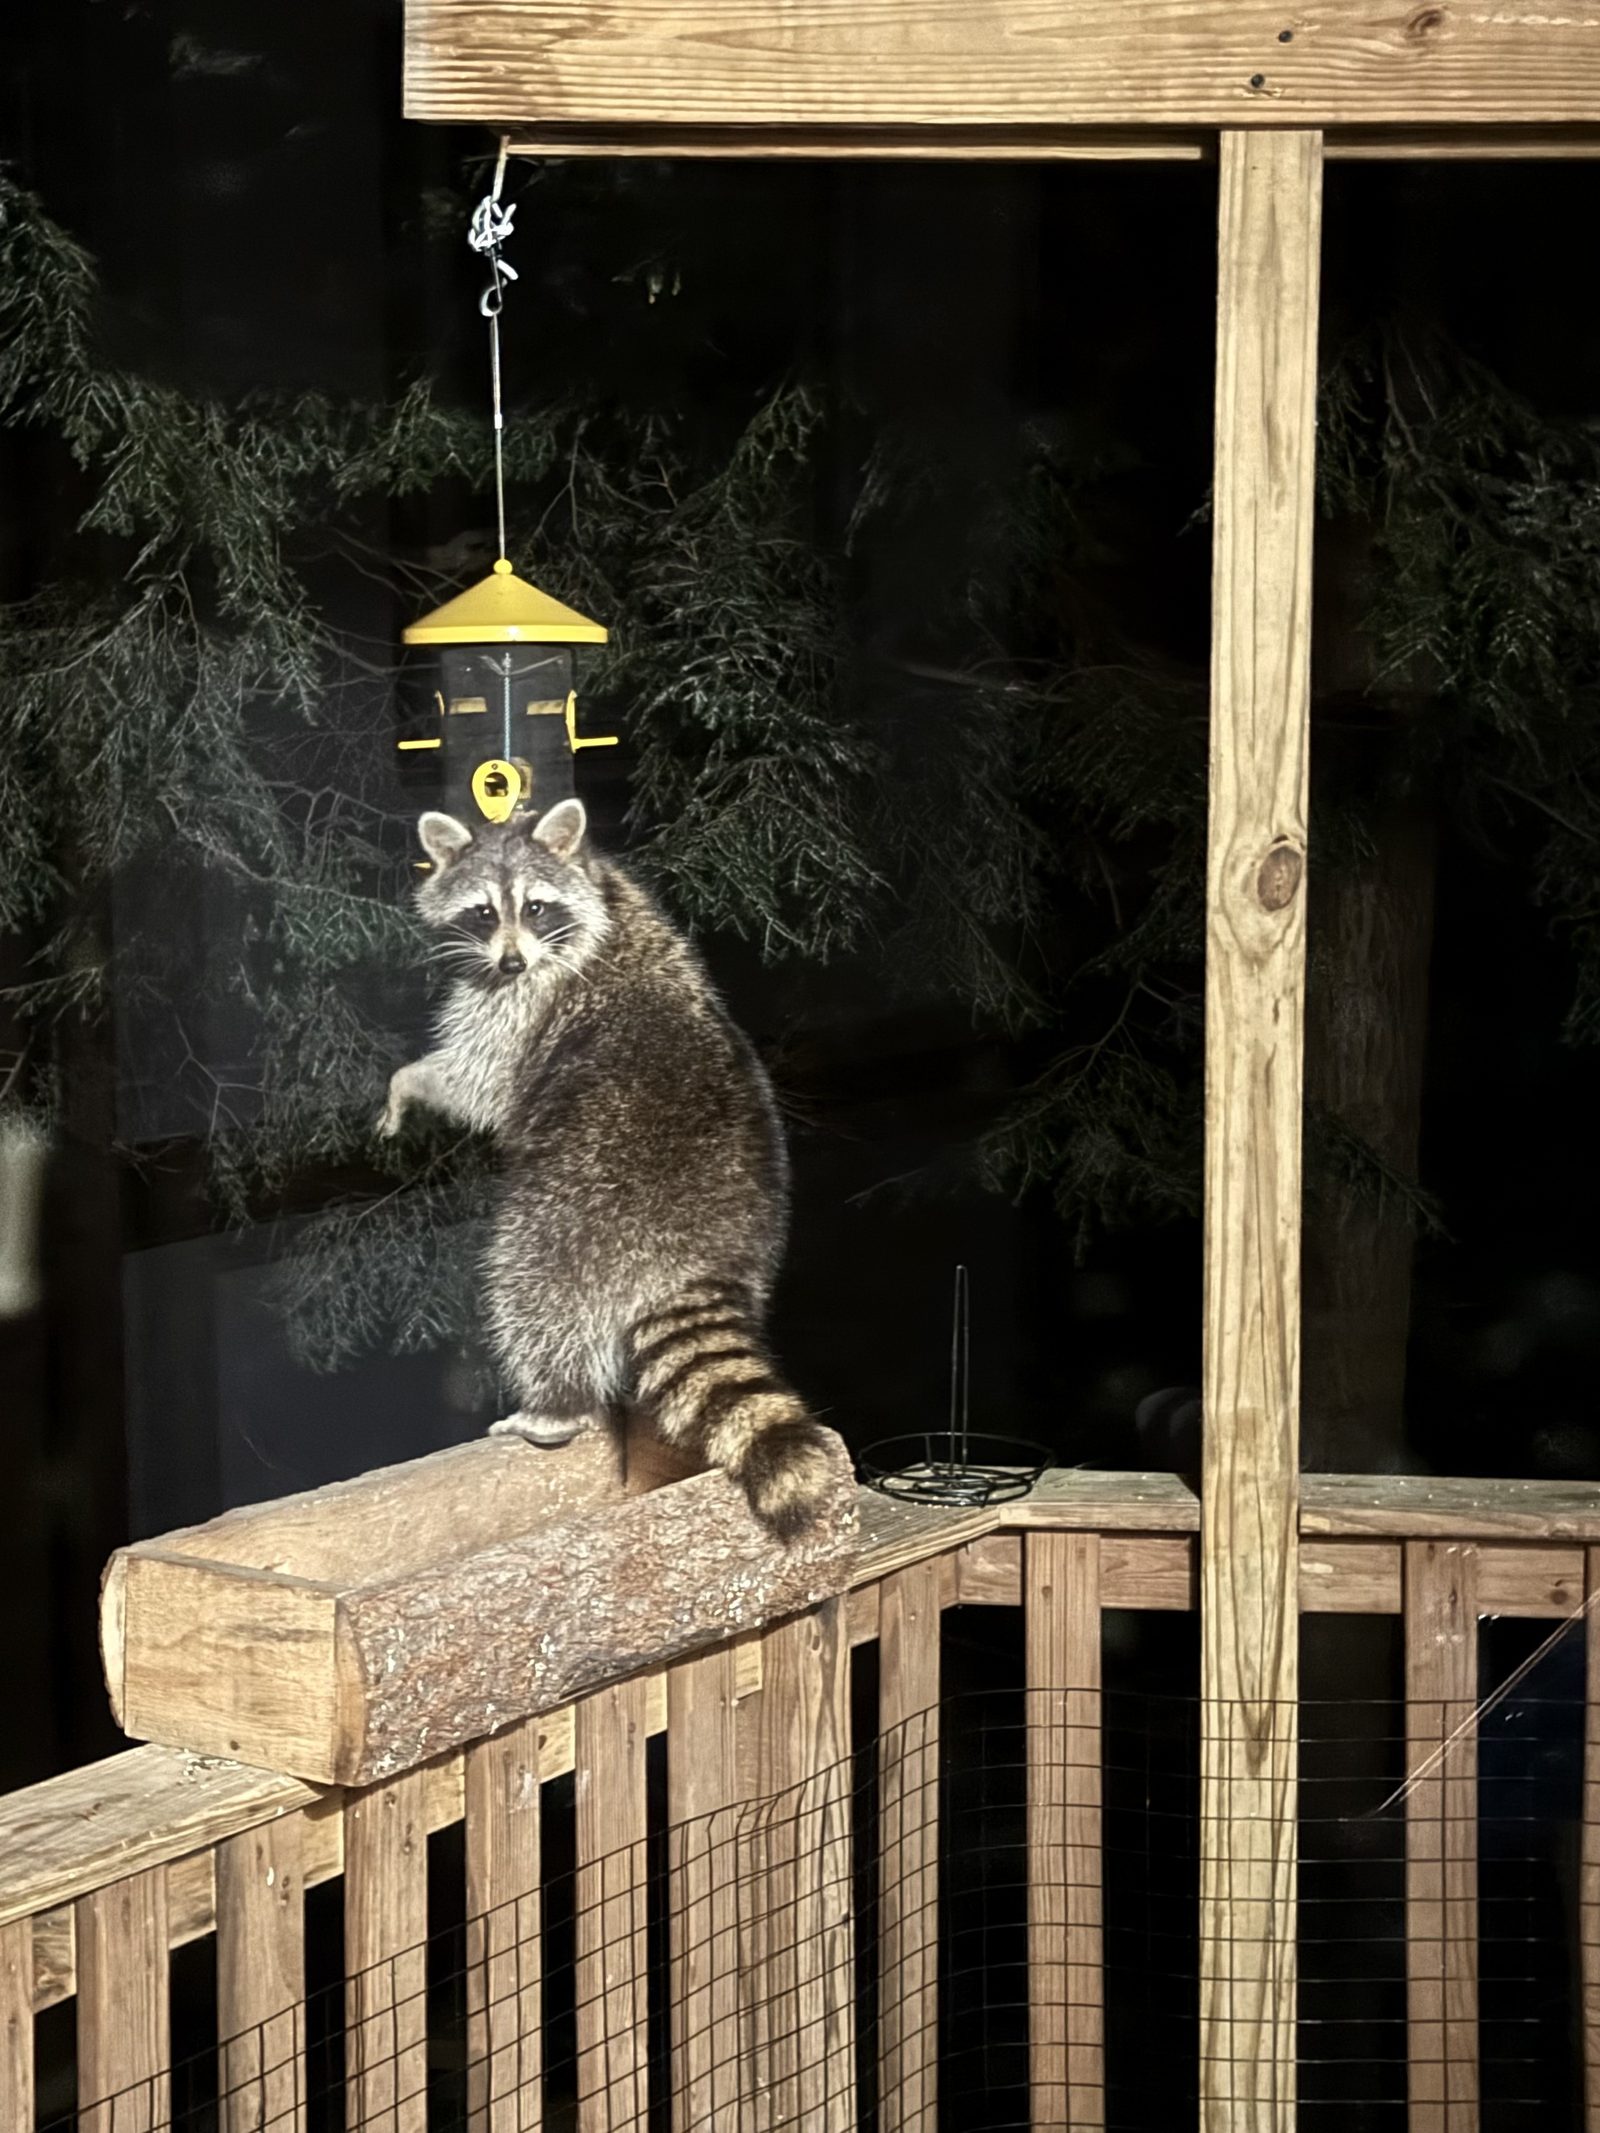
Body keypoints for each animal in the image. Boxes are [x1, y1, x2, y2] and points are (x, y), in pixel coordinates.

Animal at [378, 797, 836, 1540]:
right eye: (483, 911)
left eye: (535, 907)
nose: (510, 959)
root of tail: (699, 1255)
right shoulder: (626, 898)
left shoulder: (523, 1008)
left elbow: (485, 1085)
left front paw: (410, 1082)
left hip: (579, 1215)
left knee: (531, 1288)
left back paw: (554, 1405)